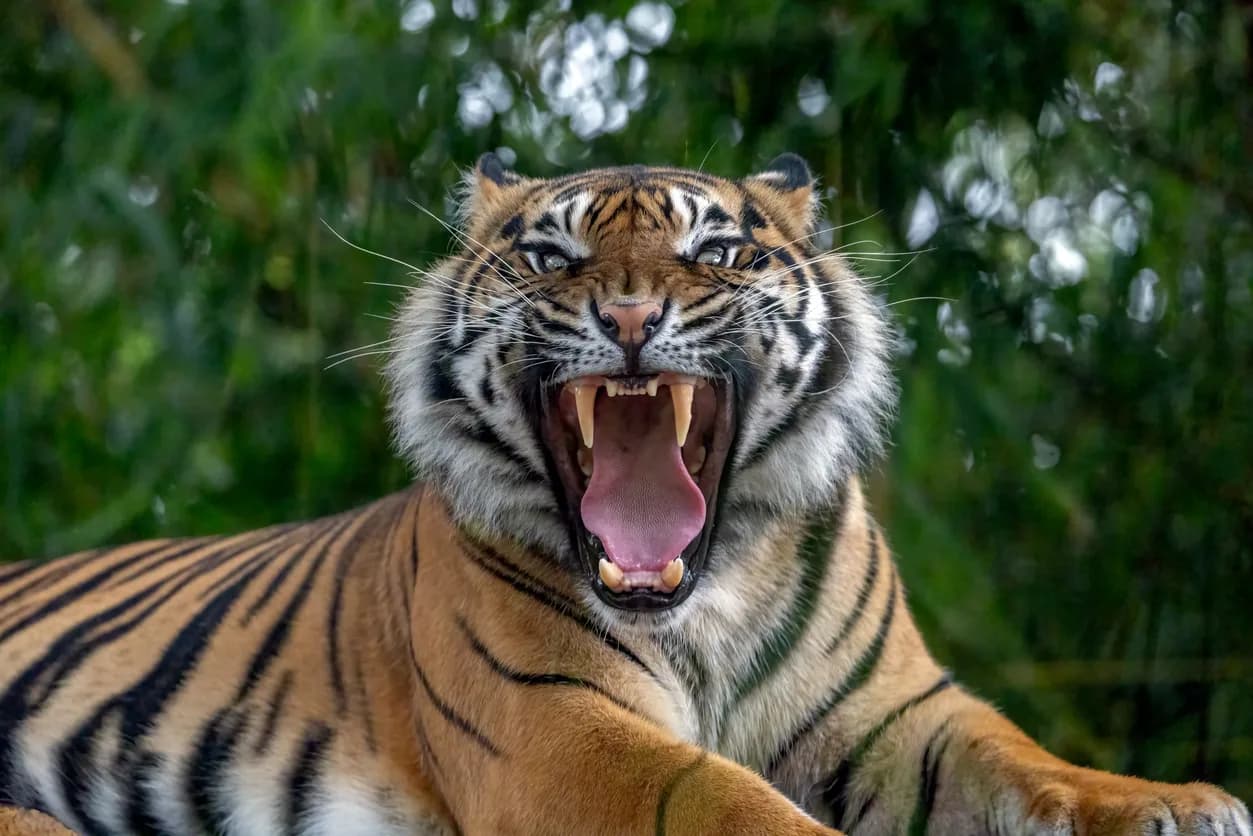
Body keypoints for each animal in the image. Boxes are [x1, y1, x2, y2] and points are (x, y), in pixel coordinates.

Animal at [1, 153, 1248, 836]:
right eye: (551, 258)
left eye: (717, 255)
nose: (634, 315)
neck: (715, 586)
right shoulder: (554, 728)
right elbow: (727, 802)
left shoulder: (899, 710)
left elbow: (1024, 756)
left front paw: (1177, 800)